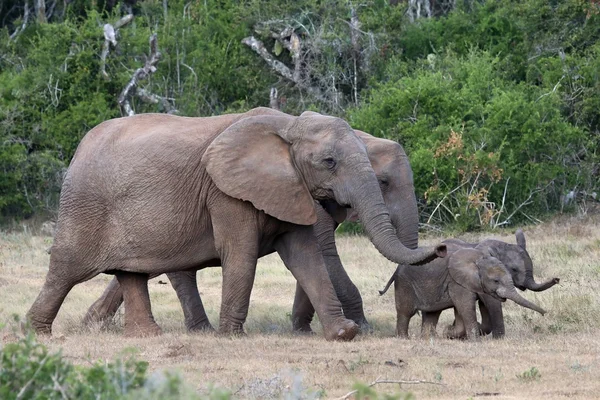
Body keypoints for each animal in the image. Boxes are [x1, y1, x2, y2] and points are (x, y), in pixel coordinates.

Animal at [25, 108, 442, 340]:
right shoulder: (226, 192)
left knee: (133, 271)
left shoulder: (295, 191)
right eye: (329, 163)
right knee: (67, 265)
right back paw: (39, 333)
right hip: (85, 203)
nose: (441, 247)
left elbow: (306, 256)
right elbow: (243, 253)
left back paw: (145, 335)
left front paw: (342, 333)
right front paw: (233, 336)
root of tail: (80, 145)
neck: (288, 125)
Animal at [382, 248, 548, 340]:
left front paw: (449, 332)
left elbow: (464, 309)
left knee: (432, 313)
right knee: (405, 312)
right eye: (495, 280)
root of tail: (396, 270)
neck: (478, 259)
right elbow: (465, 306)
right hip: (404, 284)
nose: (544, 313)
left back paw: (430, 338)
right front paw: (470, 338)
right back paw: (403, 338)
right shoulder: (457, 282)